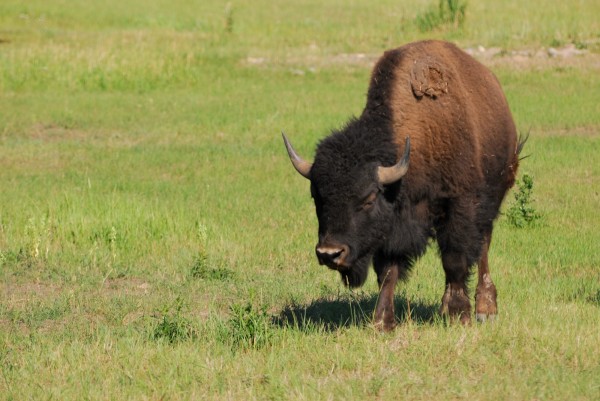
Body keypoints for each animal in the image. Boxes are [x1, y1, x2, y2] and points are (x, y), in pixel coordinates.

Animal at [284, 39, 524, 332]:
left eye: (368, 198)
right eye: (317, 197)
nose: (330, 253)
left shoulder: (460, 206)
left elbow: (455, 260)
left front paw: (459, 315)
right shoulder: (393, 226)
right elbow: (389, 270)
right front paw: (382, 322)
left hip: (492, 198)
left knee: (483, 248)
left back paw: (484, 309)